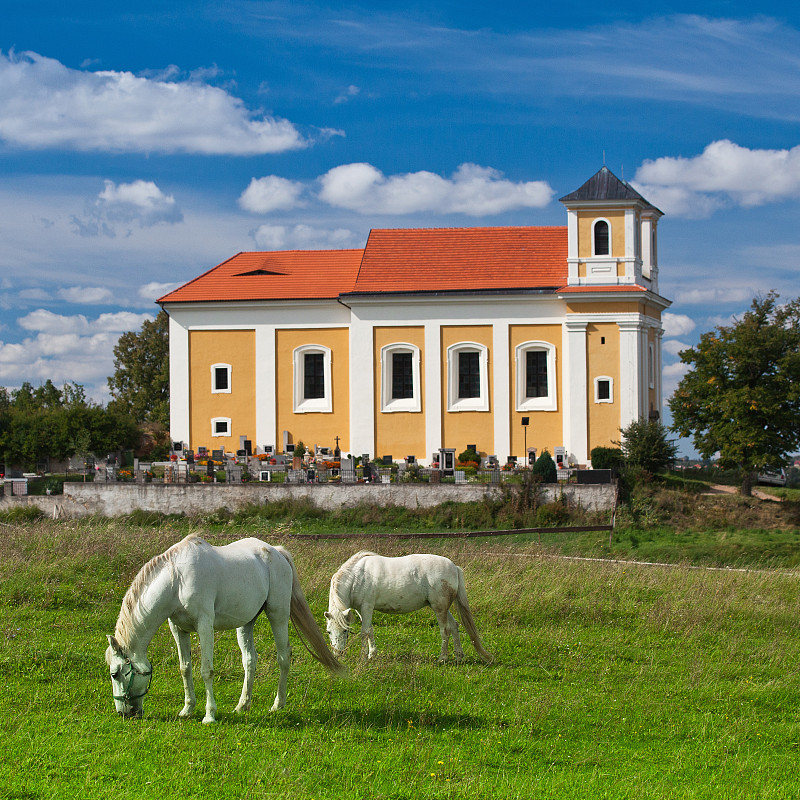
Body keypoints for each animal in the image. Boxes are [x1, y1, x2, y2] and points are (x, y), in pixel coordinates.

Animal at [105, 536, 344, 720]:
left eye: (115, 674)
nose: (124, 713)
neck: (177, 580)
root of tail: (277, 552)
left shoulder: (204, 625)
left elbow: (206, 670)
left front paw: (209, 715)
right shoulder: (178, 628)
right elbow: (185, 668)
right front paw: (187, 709)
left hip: (278, 614)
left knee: (284, 657)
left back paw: (278, 704)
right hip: (246, 623)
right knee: (250, 660)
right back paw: (242, 705)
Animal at [324, 552, 488, 664]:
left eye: (345, 631)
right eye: (328, 631)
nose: (338, 654)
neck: (357, 577)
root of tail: (454, 567)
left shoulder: (367, 607)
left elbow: (364, 632)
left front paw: (363, 657)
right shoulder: (361, 610)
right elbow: (370, 630)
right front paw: (372, 654)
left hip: (439, 608)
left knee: (445, 630)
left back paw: (442, 658)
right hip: (443, 607)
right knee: (454, 626)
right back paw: (459, 656)